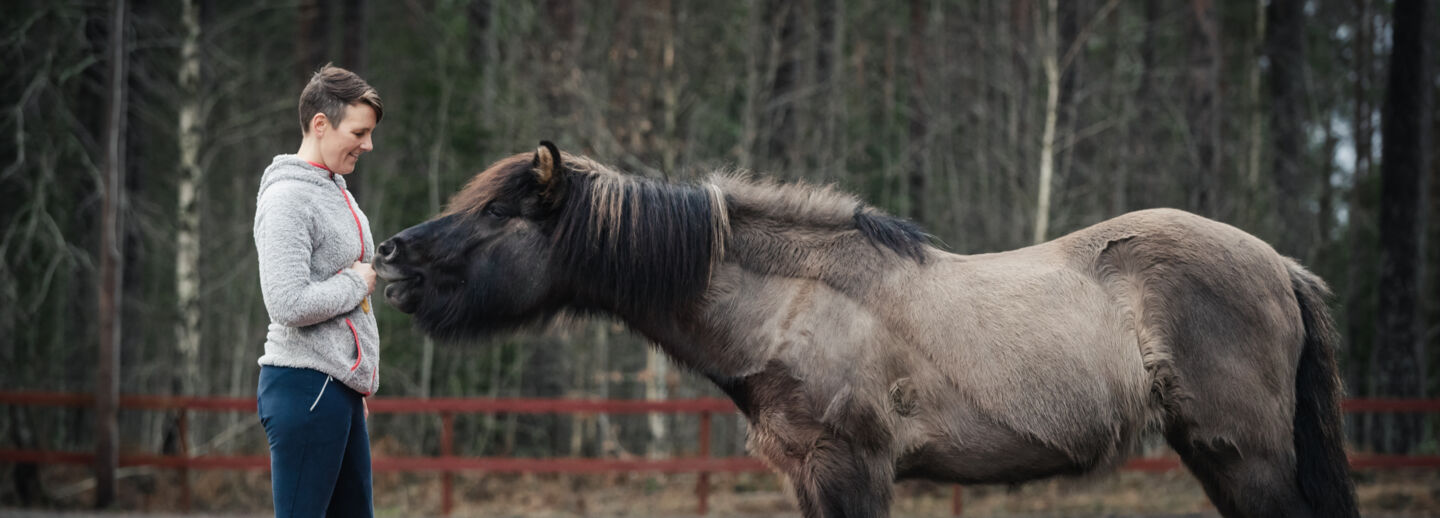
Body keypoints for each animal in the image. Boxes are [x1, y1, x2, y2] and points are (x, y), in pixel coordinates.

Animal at [374, 141, 1359, 518]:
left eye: (497, 212)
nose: (391, 256)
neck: (789, 307)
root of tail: (1281, 265)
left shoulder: (852, 467)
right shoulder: (812, 476)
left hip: (1248, 457)